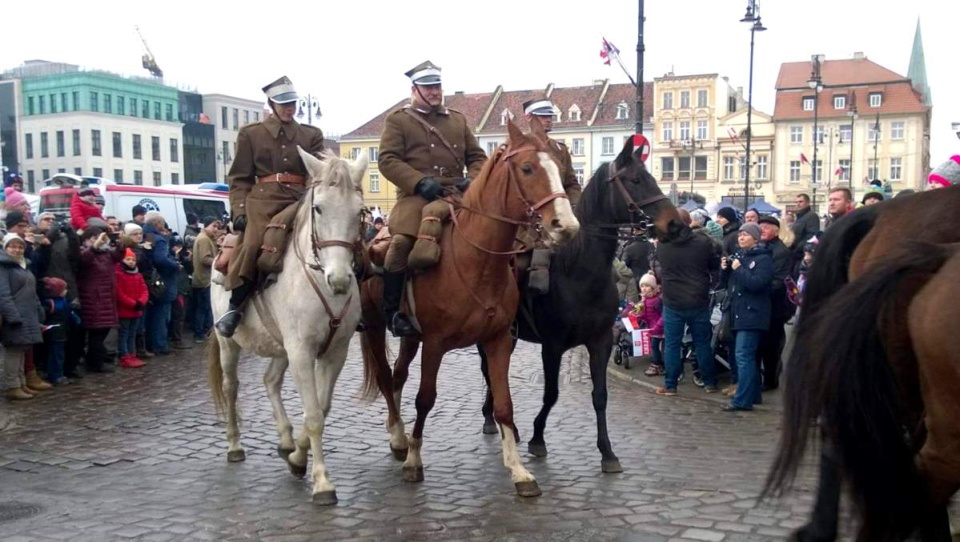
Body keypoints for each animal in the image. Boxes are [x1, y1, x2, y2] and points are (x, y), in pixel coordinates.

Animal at [208, 148, 366, 506]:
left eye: (359, 211)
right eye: (319, 208)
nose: (339, 280)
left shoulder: (334, 353)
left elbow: (321, 408)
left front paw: (297, 457)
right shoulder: (302, 352)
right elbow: (314, 415)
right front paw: (322, 483)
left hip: (280, 347)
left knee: (270, 382)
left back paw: (285, 440)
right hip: (230, 344)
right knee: (231, 386)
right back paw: (234, 444)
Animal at [358, 118, 576, 498]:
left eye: (560, 169)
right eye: (527, 168)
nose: (565, 225)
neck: (478, 261)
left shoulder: (499, 340)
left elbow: (504, 404)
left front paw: (518, 470)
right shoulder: (435, 344)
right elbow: (425, 399)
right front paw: (414, 460)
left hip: (410, 336)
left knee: (398, 375)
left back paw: (395, 429)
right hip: (373, 326)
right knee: (386, 378)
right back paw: (399, 437)